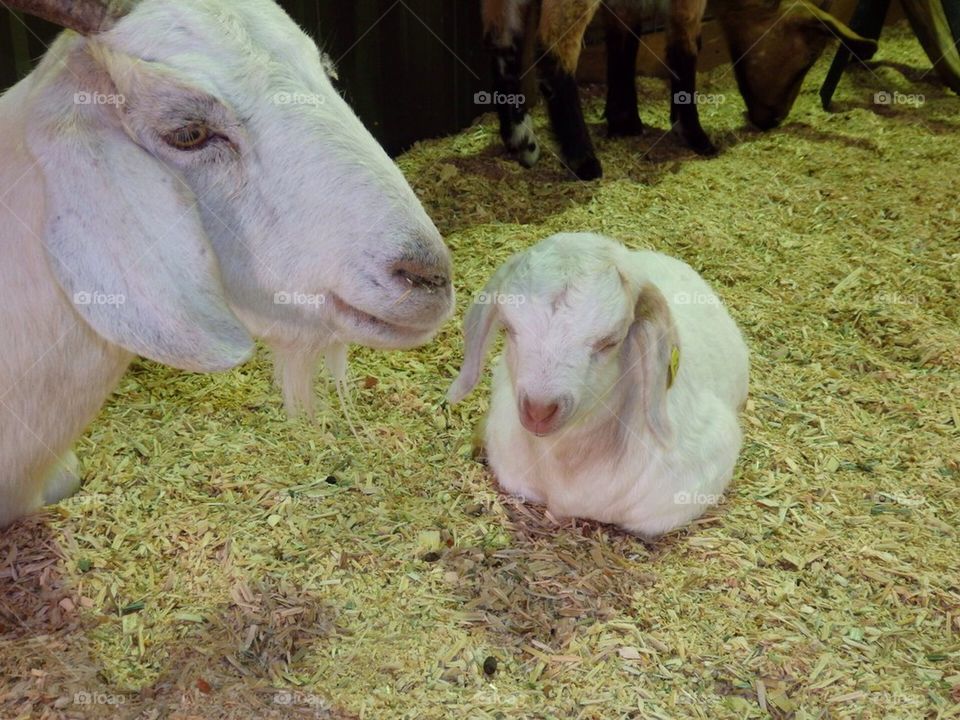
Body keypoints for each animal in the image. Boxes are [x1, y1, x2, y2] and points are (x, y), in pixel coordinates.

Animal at [482, 0, 877, 179]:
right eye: (809, 56)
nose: (775, 119)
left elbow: (626, 33)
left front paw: (625, 120)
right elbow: (686, 45)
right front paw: (694, 135)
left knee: (502, 42)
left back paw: (521, 139)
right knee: (553, 46)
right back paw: (584, 160)